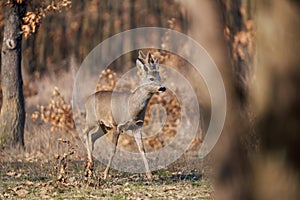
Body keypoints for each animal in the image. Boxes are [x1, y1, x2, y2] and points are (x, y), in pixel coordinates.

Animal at [83, 50, 165, 179]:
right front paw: (106, 174)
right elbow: (113, 150)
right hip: (92, 119)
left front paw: (149, 175)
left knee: (92, 136)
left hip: (104, 126)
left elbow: (142, 149)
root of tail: (87, 100)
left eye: (159, 77)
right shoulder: (117, 125)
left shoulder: (137, 127)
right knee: (84, 132)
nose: (162, 88)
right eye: (151, 78)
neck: (131, 107)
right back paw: (90, 165)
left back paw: (90, 169)